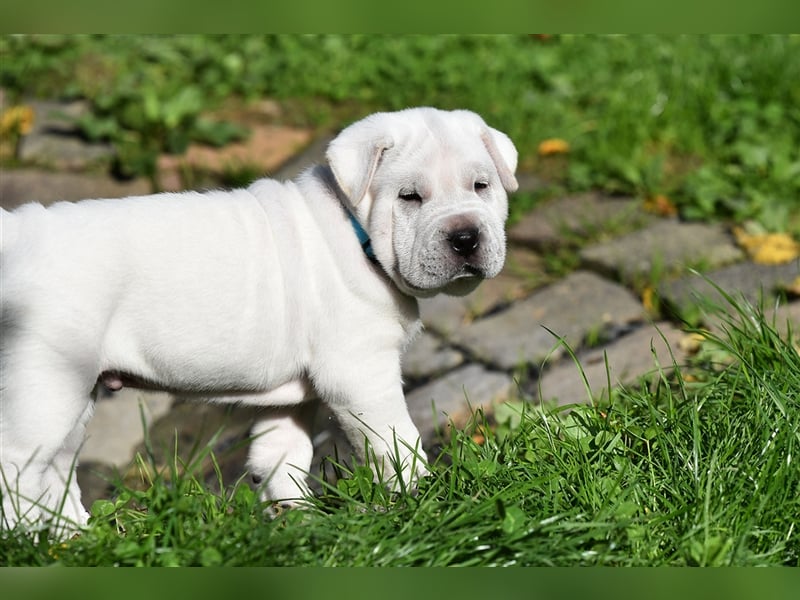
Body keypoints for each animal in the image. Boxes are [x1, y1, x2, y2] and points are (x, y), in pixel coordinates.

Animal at [1, 108, 520, 536]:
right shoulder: (362, 376)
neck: (357, 236)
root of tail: (19, 232)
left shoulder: (290, 400)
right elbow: (396, 445)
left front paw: (299, 524)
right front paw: (427, 504)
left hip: (73, 393)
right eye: (409, 197)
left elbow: (281, 460)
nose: (465, 237)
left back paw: (76, 539)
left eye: (482, 186)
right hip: (45, 385)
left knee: (54, 473)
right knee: (18, 466)